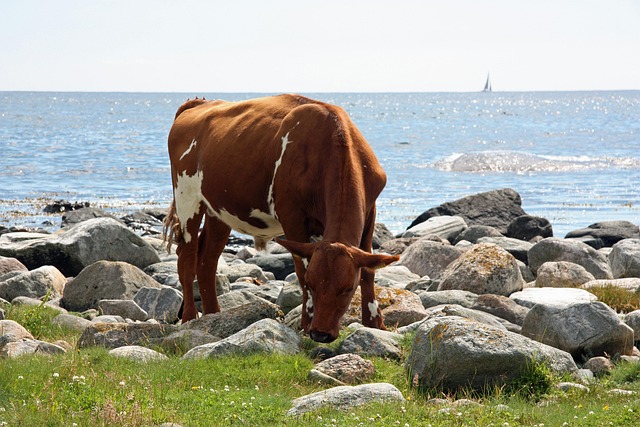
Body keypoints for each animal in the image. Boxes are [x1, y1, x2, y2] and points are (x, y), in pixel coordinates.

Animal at [163, 94, 399, 343]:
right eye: (312, 285)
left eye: (346, 289)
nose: (321, 333)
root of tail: (199, 103)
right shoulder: (292, 215)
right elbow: (302, 269)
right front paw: (306, 323)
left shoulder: (370, 210)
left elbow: (369, 270)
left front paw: (375, 324)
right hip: (186, 196)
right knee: (187, 257)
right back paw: (190, 318)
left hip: (218, 210)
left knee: (207, 260)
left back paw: (213, 316)